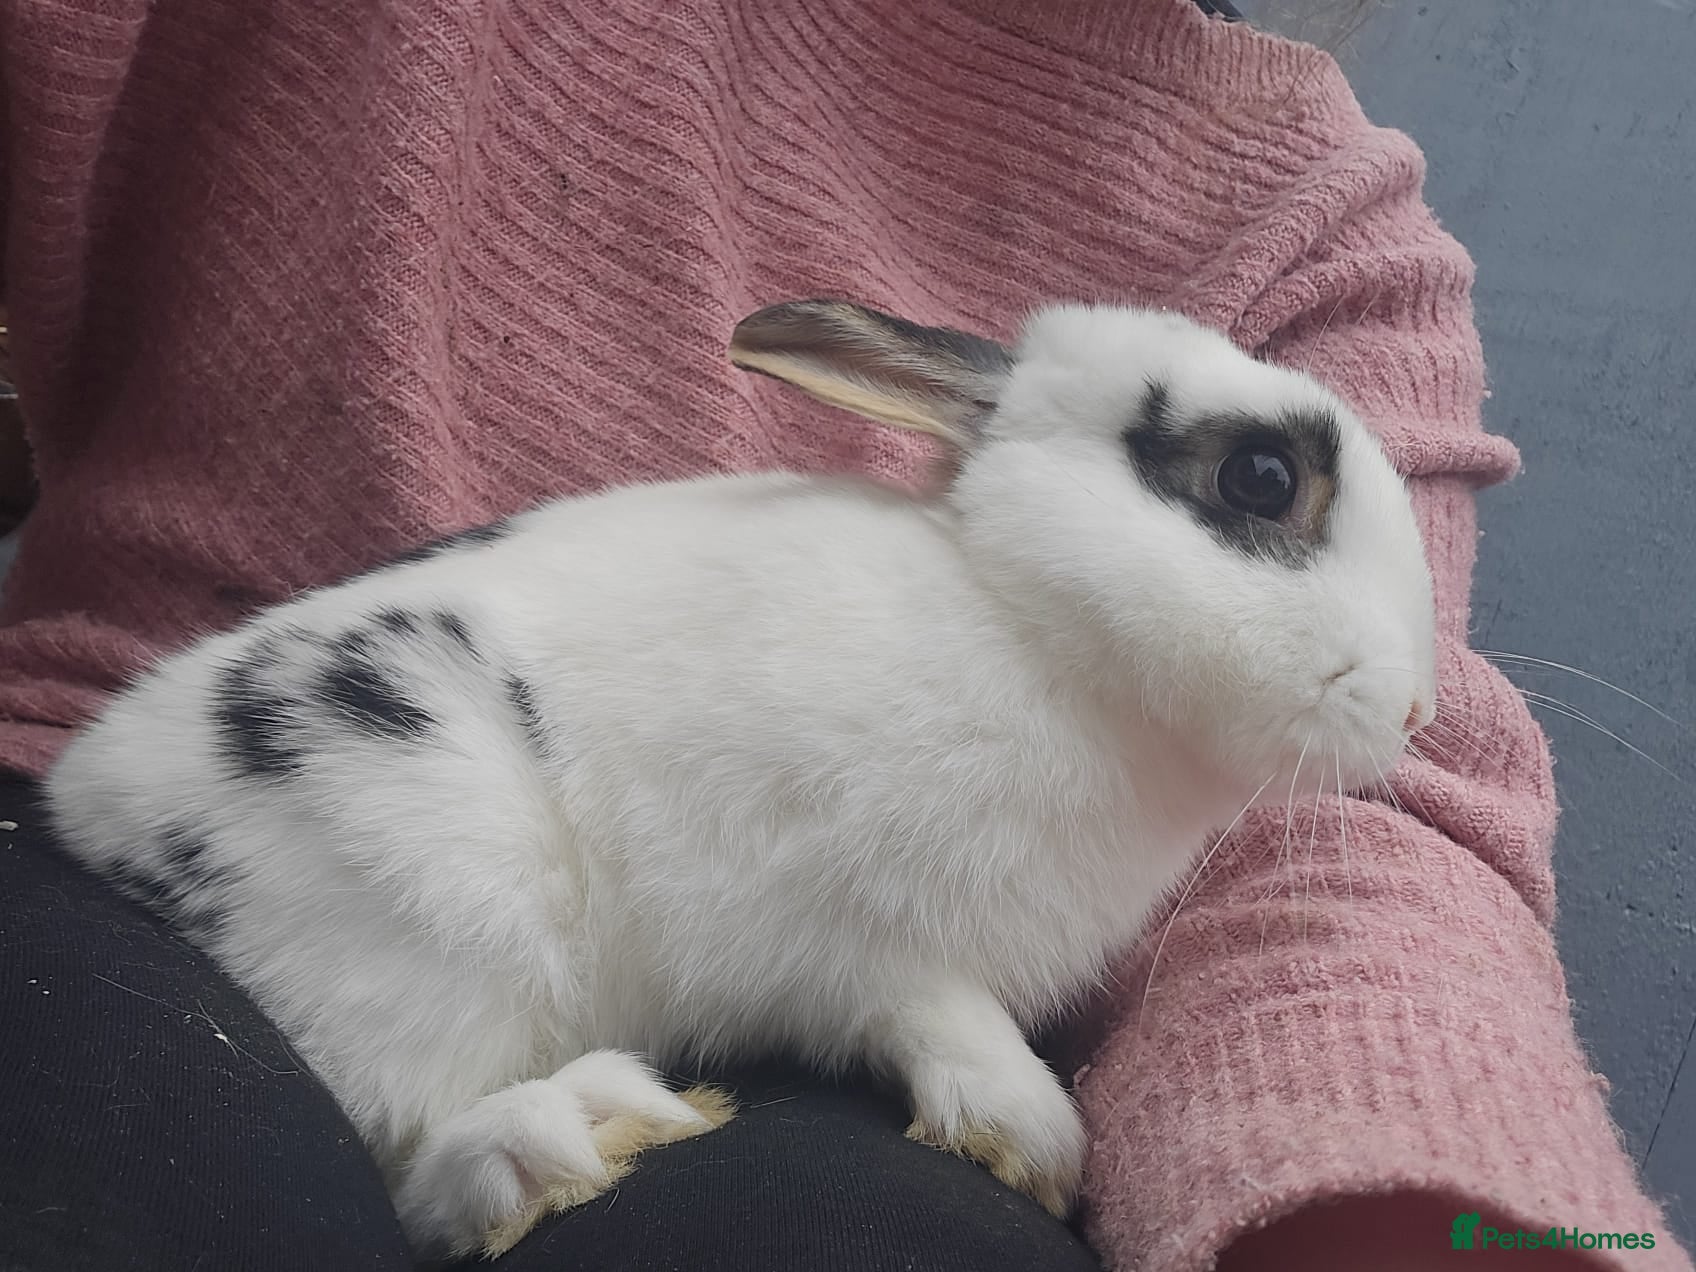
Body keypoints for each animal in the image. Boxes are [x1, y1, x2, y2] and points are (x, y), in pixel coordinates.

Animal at [44, 298, 1437, 1261]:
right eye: (1260, 476)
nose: (1420, 706)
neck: (1028, 624)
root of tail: (84, 814)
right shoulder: (871, 939)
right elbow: (949, 1026)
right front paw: (1032, 1142)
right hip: (419, 894)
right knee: (416, 1158)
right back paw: (585, 1129)